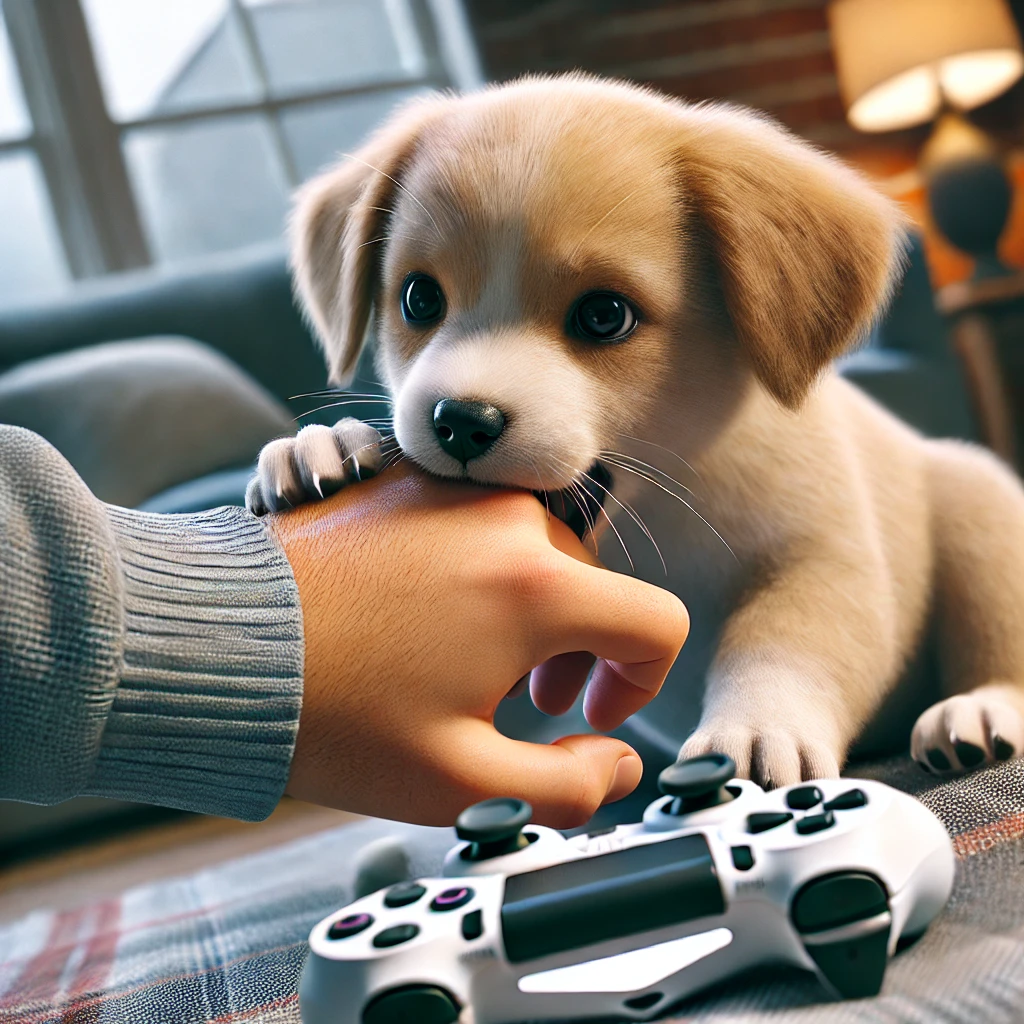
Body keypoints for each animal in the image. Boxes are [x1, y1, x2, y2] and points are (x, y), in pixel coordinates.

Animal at [245, 75, 1024, 786]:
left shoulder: (824, 559)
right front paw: (325, 447)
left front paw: (757, 725)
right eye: (418, 298)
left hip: (977, 505)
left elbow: (787, 646)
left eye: (603, 316)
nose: (461, 421)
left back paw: (979, 709)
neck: (670, 500)